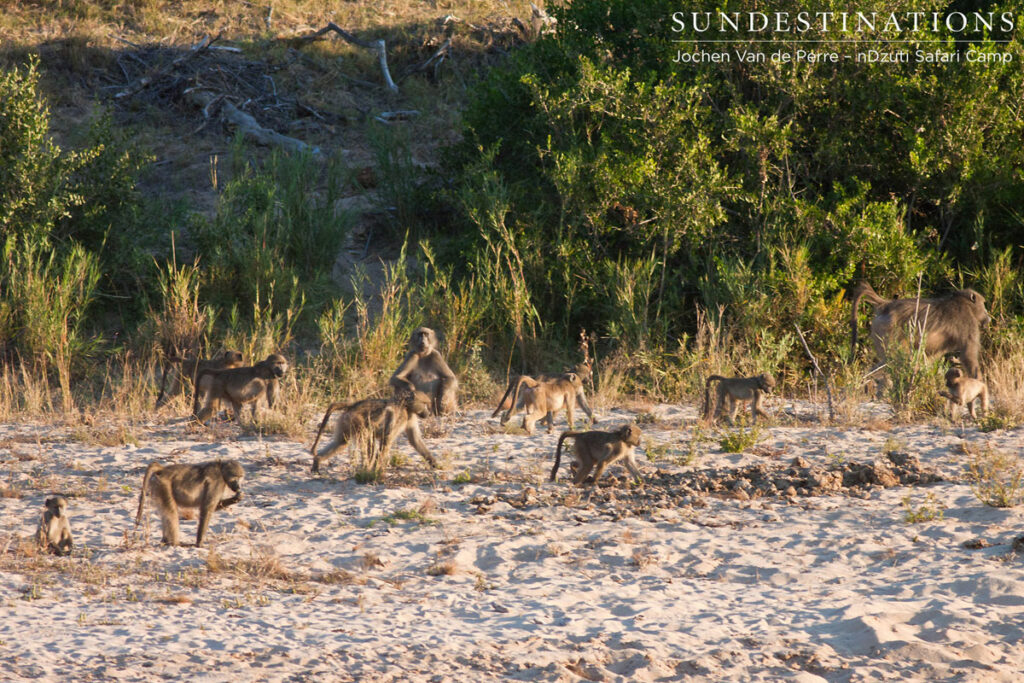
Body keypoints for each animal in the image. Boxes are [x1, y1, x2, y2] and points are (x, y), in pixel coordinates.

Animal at [850, 281, 991, 381]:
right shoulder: (968, 323)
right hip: (888, 331)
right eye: (984, 304)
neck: (964, 303)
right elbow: (968, 356)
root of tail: (886, 305)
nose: (988, 317)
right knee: (895, 360)